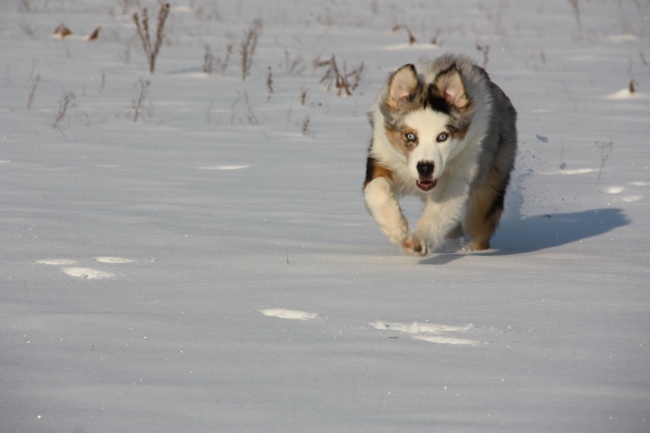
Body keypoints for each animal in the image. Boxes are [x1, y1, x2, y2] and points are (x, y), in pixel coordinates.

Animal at [362, 54, 512, 256]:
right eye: (410, 136)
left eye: (442, 136)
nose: (425, 168)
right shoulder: (382, 155)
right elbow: (376, 188)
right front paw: (396, 228)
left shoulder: (458, 175)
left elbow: (439, 210)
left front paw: (417, 241)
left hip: (491, 175)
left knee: (480, 223)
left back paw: (476, 251)